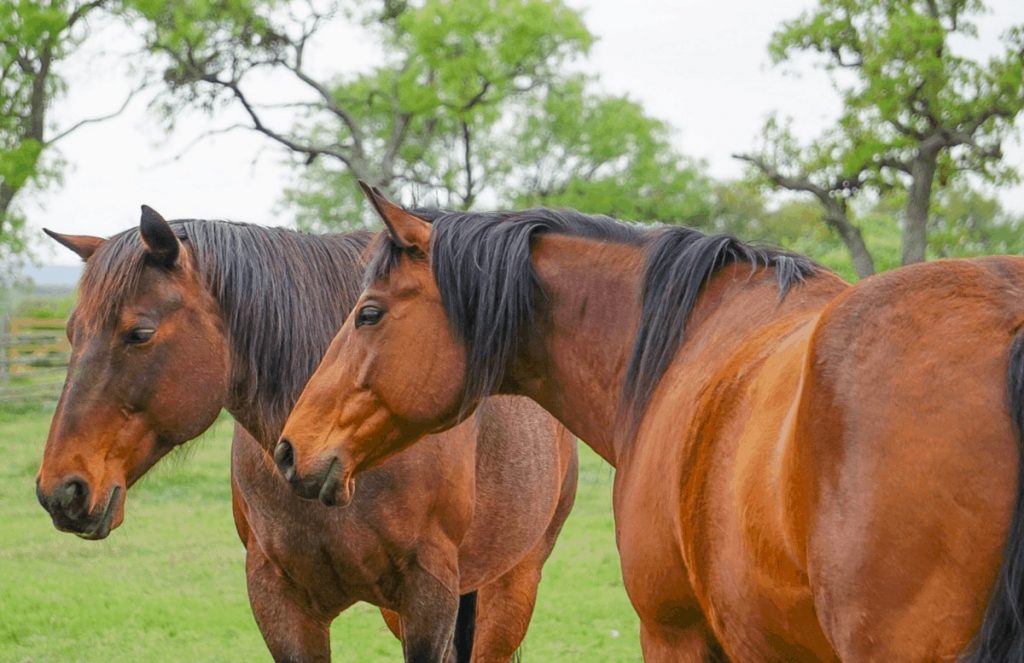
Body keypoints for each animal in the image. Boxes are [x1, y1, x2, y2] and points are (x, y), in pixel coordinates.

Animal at [34, 206, 577, 663]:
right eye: (71, 333)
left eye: (140, 333)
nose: (60, 490)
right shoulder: (281, 602)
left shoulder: (430, 596)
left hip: (512, 585)